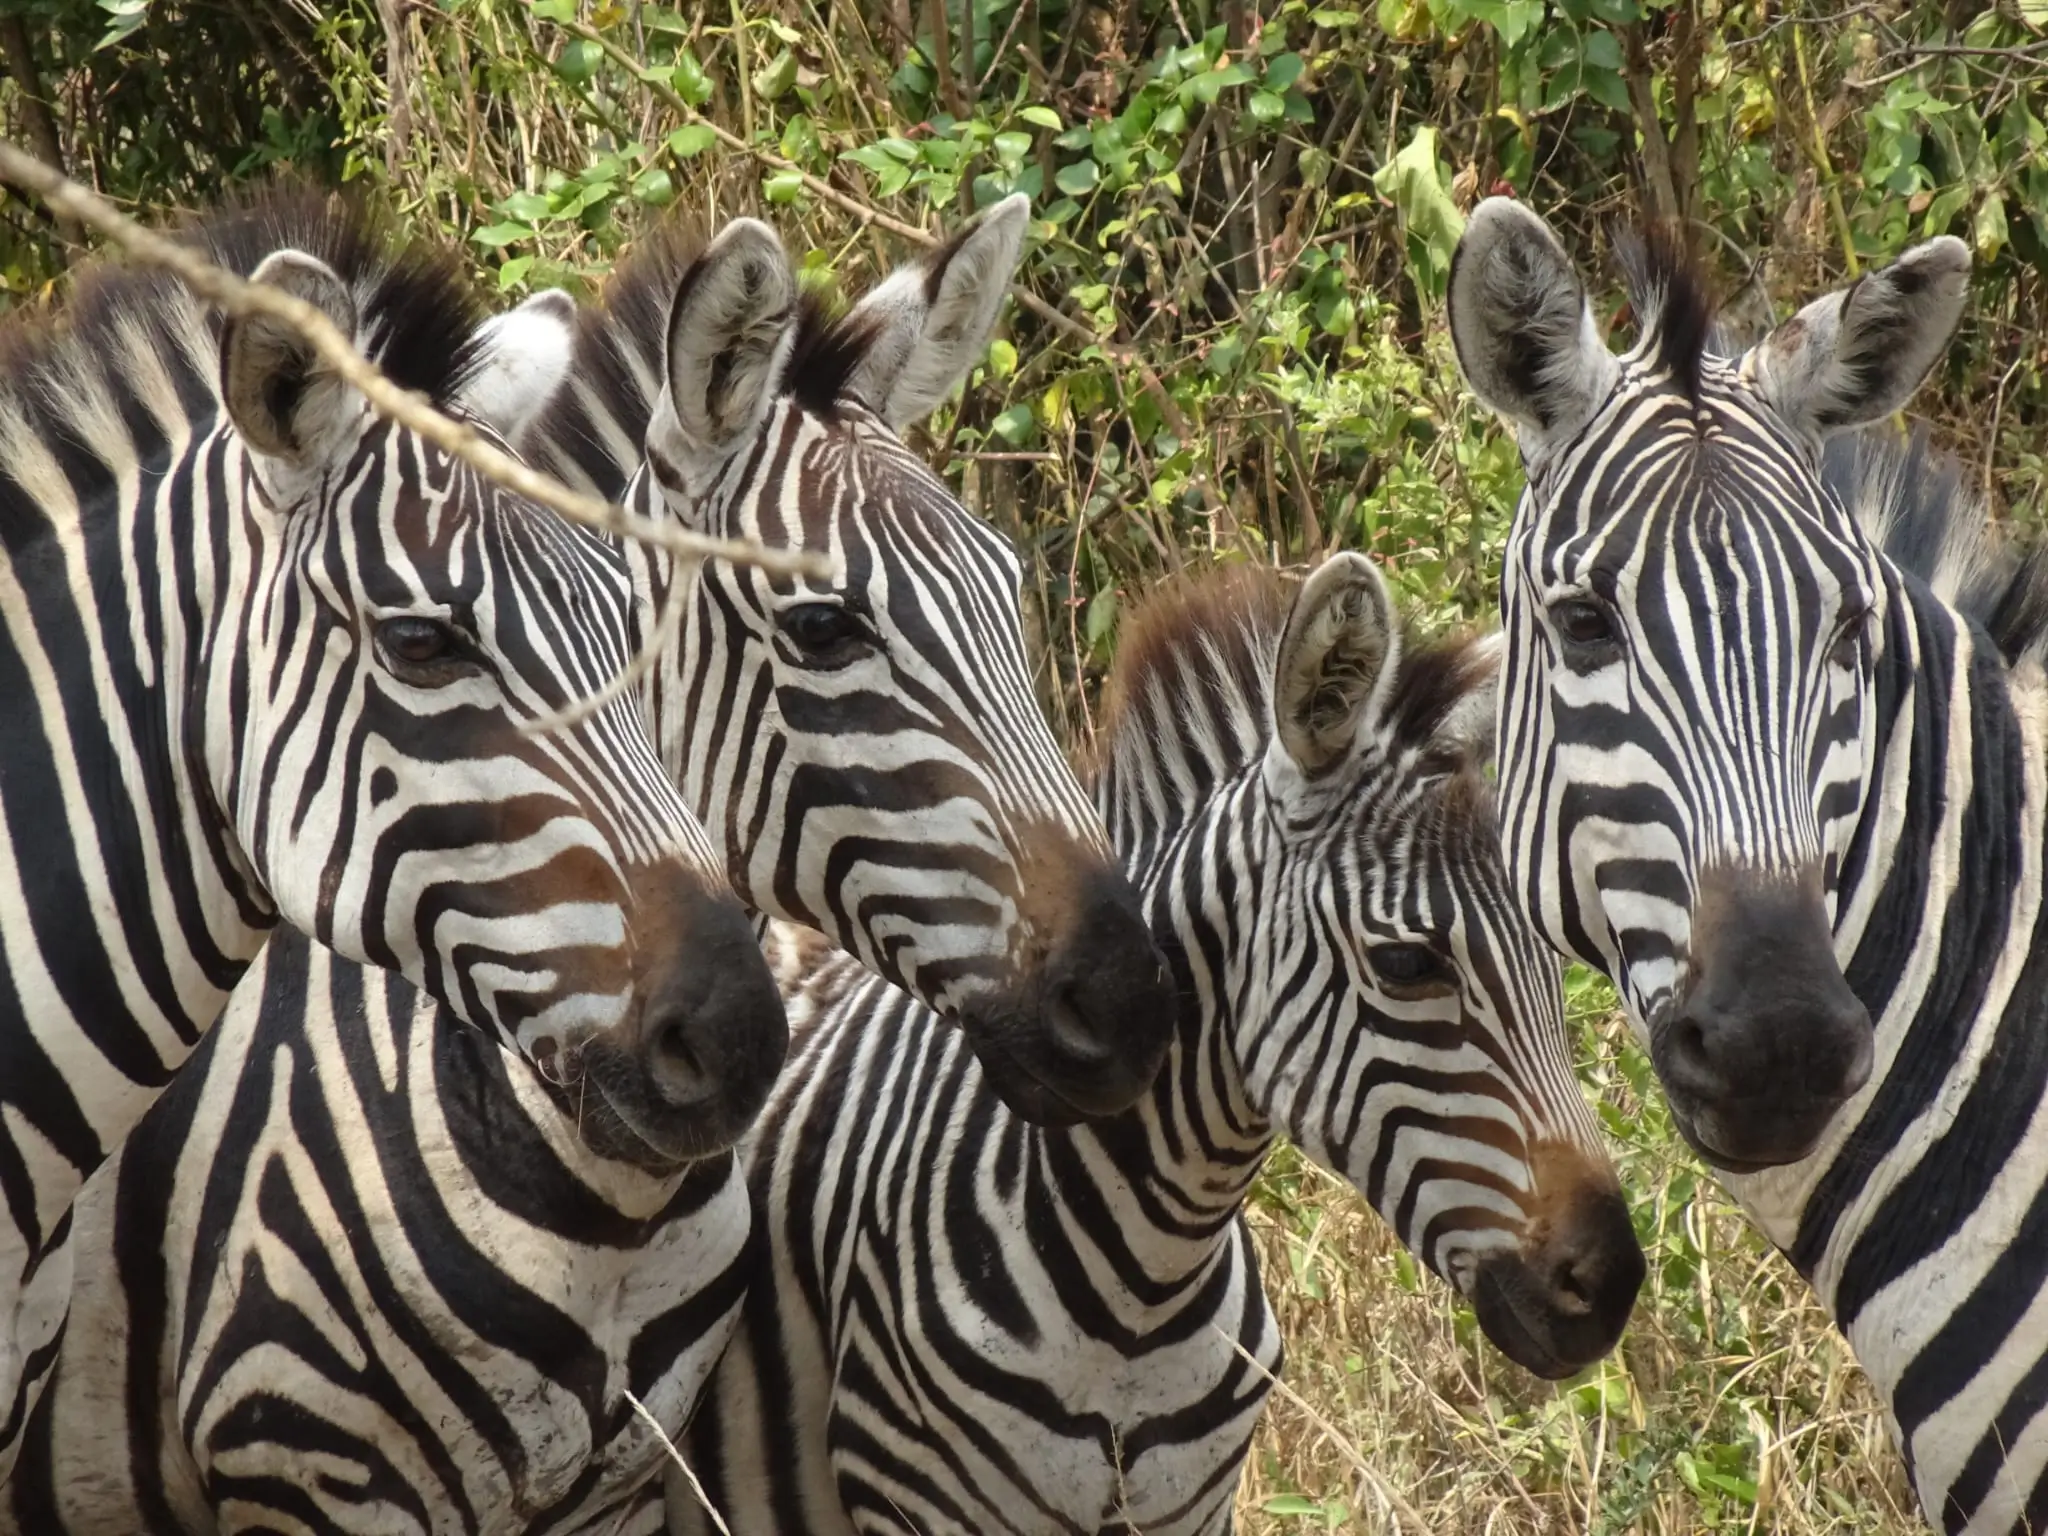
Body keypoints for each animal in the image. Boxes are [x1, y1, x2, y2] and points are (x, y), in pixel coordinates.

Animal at [673, 554, 1647, 1536]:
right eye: (1407, 963)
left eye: (1555, 962)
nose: (1611, 1288)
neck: (1143, 1290)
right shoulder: (926, 1503)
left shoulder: (1195, 1507)